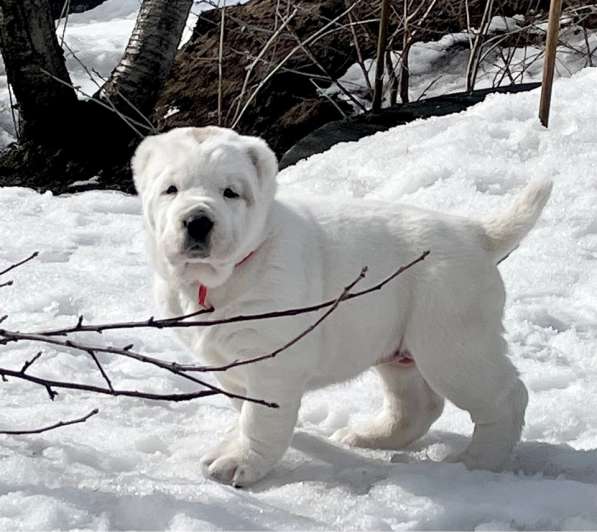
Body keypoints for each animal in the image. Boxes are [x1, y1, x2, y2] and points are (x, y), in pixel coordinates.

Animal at [133, 124, 552, 486]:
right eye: (171, 189)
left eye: (230, 193)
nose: (197, 221)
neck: (223, 278)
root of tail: (476, 233)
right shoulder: (231, 366)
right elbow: (244, 410)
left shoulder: (272, 361)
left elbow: (259, 418)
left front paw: (240, 463)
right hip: (397, 348)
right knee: (417, 405)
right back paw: (369, 437)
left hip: (453, 342)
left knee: (505, 399)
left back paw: (476, 462)